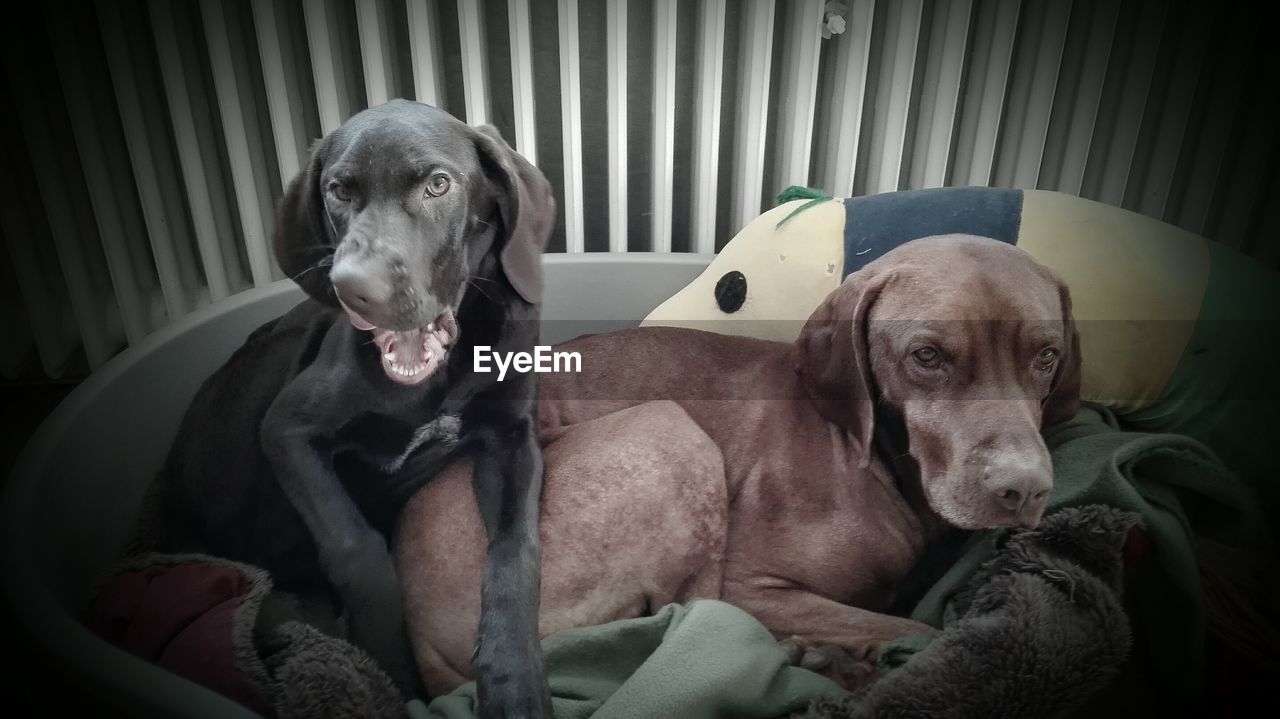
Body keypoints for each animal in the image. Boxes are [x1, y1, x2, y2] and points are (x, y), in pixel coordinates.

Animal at [133, 99, 555, 711]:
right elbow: (355, 547)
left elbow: (515, 549)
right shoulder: (286, 429)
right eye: (339, 191)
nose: (356, 289)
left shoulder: (513, 436)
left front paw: (515, 680)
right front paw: (390, 673)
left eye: (438, 184)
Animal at [394, 234, 1085, 690]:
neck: (870, 450)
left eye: (1047, 356)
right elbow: (922, 634)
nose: (1025, 490)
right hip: (670, 434)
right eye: (928, 355)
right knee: (687, 621)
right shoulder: (751, 585)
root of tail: (421, 643)